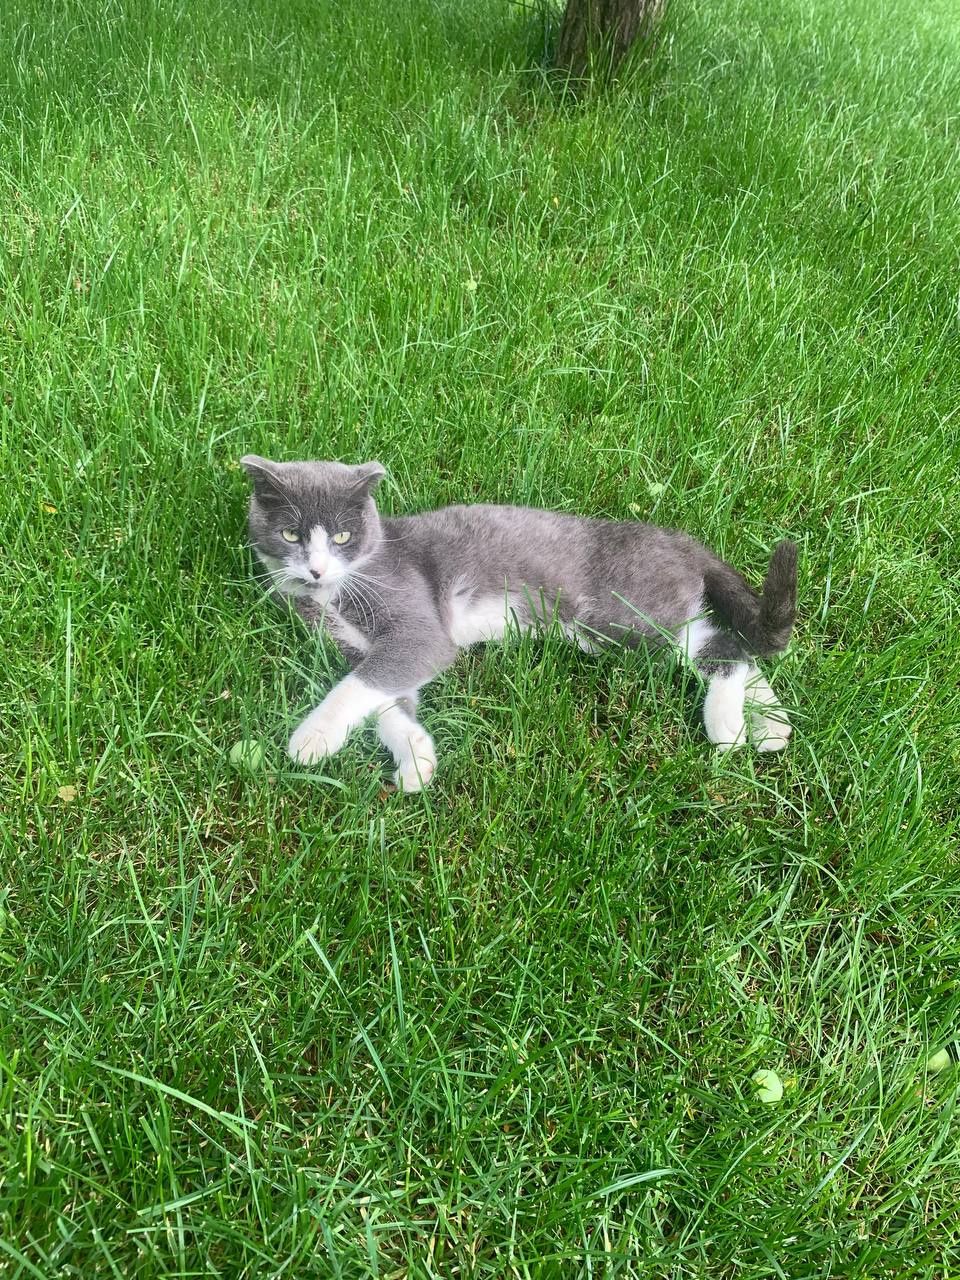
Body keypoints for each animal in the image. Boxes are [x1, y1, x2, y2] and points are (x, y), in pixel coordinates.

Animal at [241, 450, 798, 788]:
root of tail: (680, 542)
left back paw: (727, 726)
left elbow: (366, 682)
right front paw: (417, 758)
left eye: (341, 537)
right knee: (729, 645)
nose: (315, 569)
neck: (333, 594)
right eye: (290, 535)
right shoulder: (354, 645)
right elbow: (387, 700)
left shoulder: (414, 621)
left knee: (723, 647)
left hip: (624, 615)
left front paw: (311, 739)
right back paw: (771, 725)